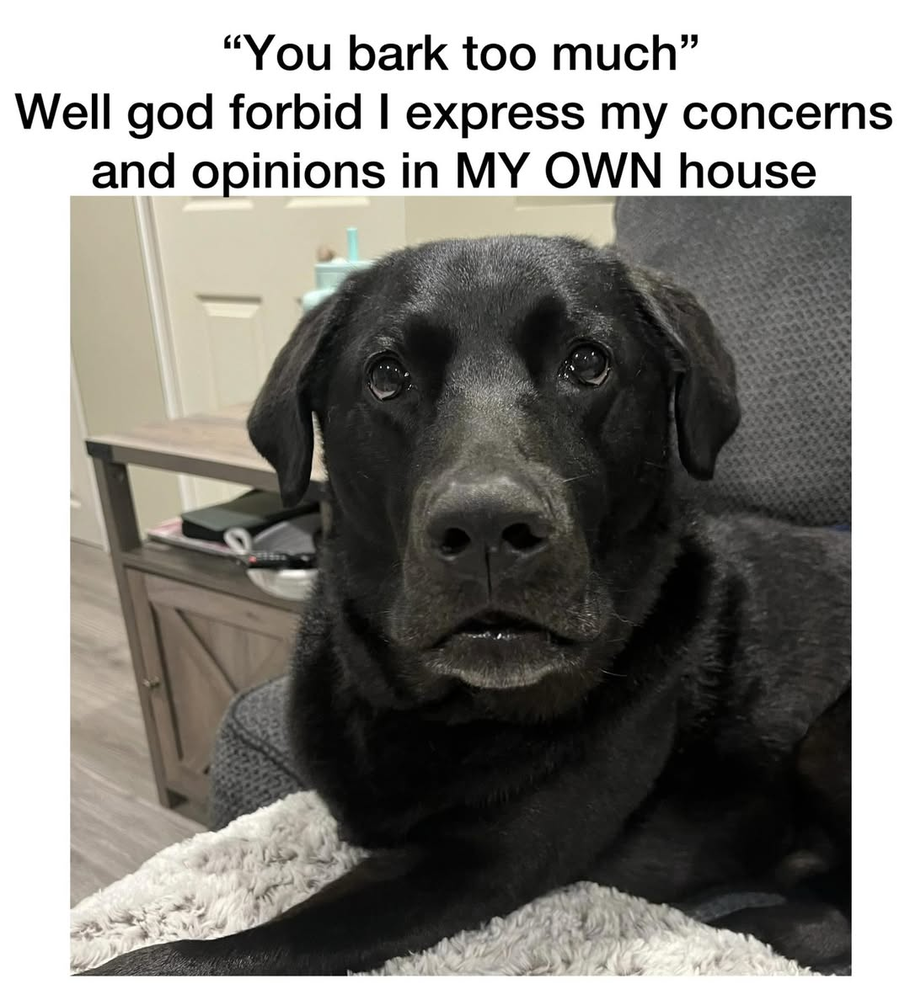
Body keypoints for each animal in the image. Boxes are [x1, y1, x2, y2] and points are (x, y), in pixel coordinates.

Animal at [86, 235, 851, 975]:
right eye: (387, 376)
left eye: (588, 362)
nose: (487, 528)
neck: (436, 711)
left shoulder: (479, 865)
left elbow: (187, 958)